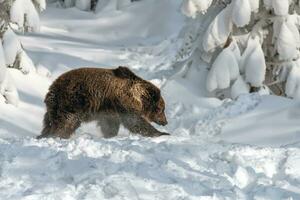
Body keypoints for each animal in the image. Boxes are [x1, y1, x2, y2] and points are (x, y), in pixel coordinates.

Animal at [35, 66, 169, 138]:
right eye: (161, 109)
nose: (165, 121)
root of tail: (52, 89)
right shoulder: (122, 102)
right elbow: (134, 121)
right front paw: (162, 134)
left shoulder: (109, 110)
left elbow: (110, 125)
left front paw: (110, 135)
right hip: (72, 102)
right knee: (66, 122)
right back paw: (58, 136)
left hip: (54, 108)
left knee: (49, 123)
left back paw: (42, 135)